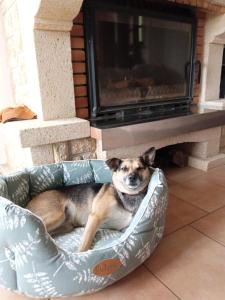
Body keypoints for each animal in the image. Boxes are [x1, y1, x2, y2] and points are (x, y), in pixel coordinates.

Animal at [26, 147, 156, 251]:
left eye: (140, 168)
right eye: (124, 169)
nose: (132, 177)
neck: (128, 195)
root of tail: (27, 204)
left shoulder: (125, 228)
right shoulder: (95, 217)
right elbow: (85, 244)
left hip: (66, 226)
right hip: (56, 215)